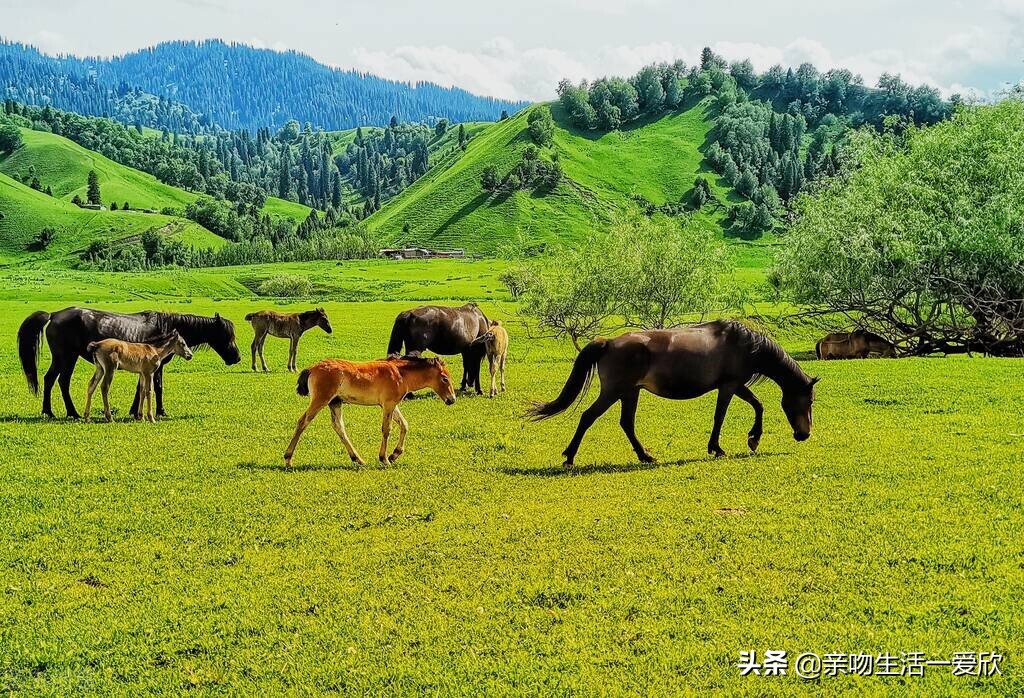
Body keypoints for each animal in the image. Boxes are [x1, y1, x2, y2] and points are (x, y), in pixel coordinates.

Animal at [18, 304, 241, 419]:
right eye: (227, 335)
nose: (237, 357)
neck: (164, 326)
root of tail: (54, 314)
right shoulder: (155, 368)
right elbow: (156, 388)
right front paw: (158, 412)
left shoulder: (147, 367)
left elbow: (142, 388)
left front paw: (136, 411)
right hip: (66, 357)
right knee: (59, 381)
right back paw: (67, 413)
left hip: (65, 358)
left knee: (52, 380)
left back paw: (53, 412)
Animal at [282, 356, 454, 464]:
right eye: (445, 378)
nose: (452, 399)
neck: (400, 374)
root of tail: (311, 368)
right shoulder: (388, 404)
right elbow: (387, 429)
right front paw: (384, 459)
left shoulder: (392, 405)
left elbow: (404, 425)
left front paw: (394, 454)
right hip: (320, 400)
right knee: (302, 422)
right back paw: (288, 458)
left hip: (335, 403)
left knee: (339, 427)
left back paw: (357, 459)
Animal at [532, 319, 819, 462]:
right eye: (808, 401)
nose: (804, 434)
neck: (746, 345)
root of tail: (609, 343)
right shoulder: (729, 386)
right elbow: (722, 416)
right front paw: (721, 447)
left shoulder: (736, 386)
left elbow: (757, 405)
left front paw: (751, 439)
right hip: (613, 392)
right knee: (588, 417)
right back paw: (569, 457)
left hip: (630, 392)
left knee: (627, 424)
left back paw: (645, 456)